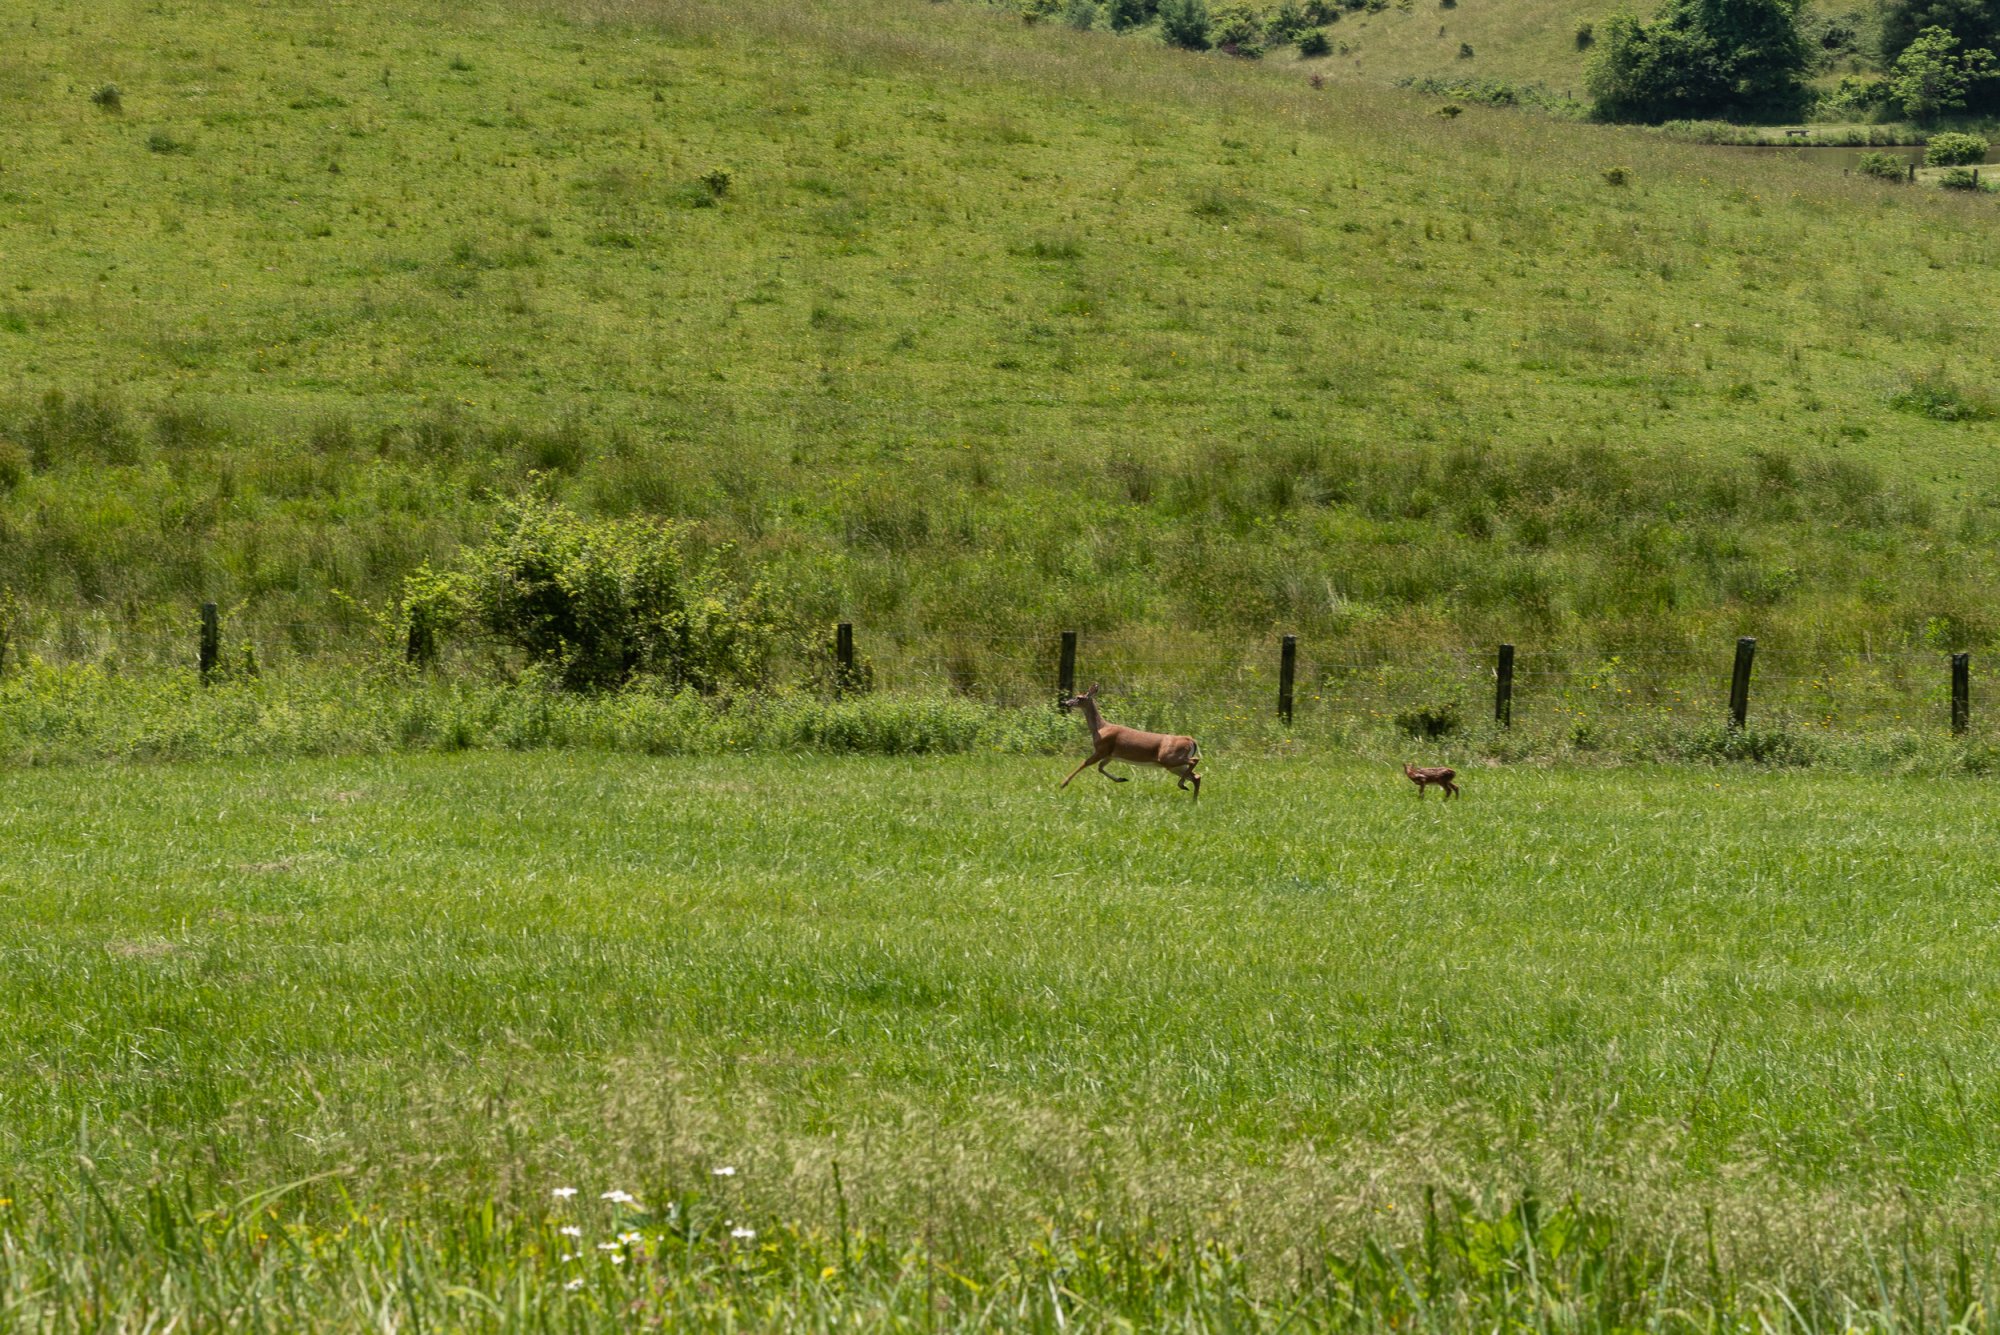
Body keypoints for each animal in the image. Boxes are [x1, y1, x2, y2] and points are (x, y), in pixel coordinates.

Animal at [1064, 683, 1200, 799]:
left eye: (1079, 697)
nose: (1066, 703)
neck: (1100, 728)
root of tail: (1191, 740)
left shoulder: (1102, 749)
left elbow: (1084, 763)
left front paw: (1063, 783)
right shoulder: (1110, 755)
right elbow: (1100, 768)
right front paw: (1121, 779)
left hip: (1169, 757)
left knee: (1195, 761)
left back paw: (1182, 785)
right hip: (1172, 764)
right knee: (1196, 776)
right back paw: (1192, 799)